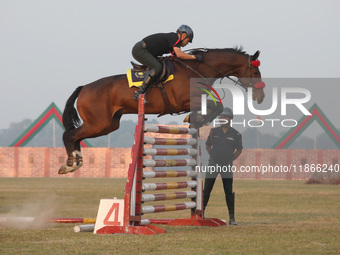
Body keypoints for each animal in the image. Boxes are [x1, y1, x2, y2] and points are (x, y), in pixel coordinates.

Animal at [58, 46, 266, 174]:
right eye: (255, 72)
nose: (261, 97)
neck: (196, 69)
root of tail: (84, 88)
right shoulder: (184, 100)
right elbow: (216, 106)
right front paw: (196, 119)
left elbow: (214, 106)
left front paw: (195, 119)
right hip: (98, 123)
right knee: (70, 135)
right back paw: (69, 165)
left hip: (107, 125)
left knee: (76, 137)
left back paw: (76, 162)